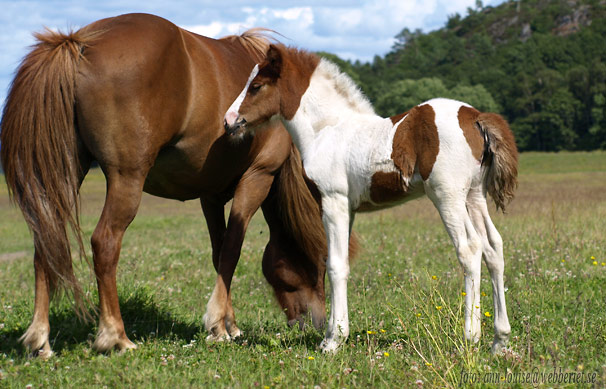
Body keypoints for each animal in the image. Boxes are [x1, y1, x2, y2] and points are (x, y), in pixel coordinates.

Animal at [1, 12, 332, 358]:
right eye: (319, 262)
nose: (319, 323)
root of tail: (78, 43)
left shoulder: (210, 194)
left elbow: (219, 253)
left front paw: (229, 324)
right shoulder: (257, 178)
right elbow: (232, 250)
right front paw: (219, 324)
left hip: (65, 173)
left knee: (46, 244)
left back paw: (40, 339)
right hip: (126, 179)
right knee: (105, 243)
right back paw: (115, 335)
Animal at [226, 44, 520, 352]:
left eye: (257, 86)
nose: (230, 121)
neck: (326, 129)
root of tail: (475, 117)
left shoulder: (333, 201)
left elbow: (335, 265)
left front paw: (333, 341)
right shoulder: (349, 208)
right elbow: (338, 261)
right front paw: (333, 334)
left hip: (447, 196)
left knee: (470, 249)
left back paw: (470, 337)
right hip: (474, 196)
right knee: (493, 247)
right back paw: (500, 340)